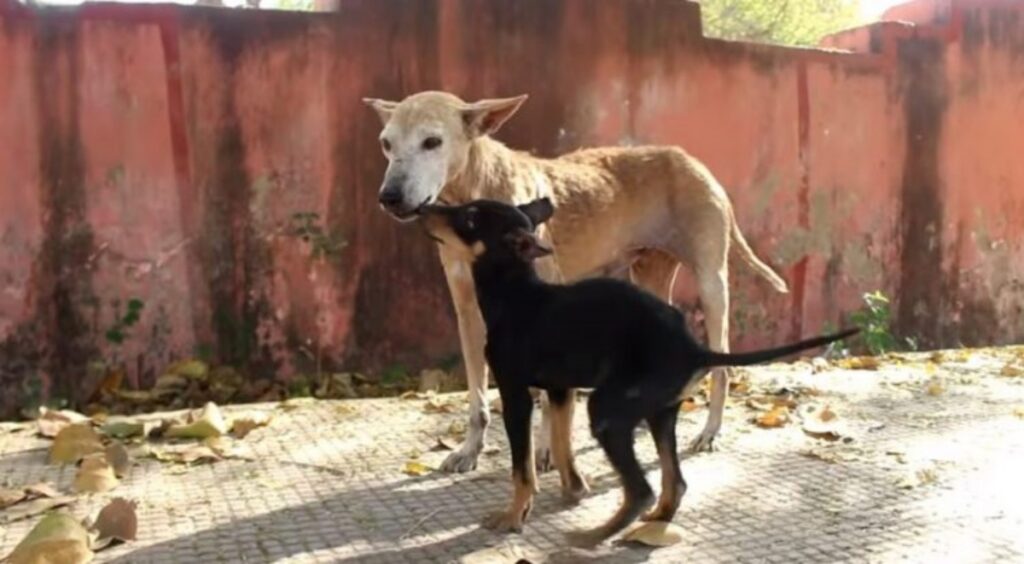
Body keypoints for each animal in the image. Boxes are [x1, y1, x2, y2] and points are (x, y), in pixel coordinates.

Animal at [364, 91, 786, 472]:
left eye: (432, 141)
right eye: (386, 143)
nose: (389, 197)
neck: (477, 189)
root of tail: (692, 160)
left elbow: (546, 395)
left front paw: (546, 450)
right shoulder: (468, 313)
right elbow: (477, 399)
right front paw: (470, 450)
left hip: (712, 284)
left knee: (723, 365)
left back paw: (710, 430)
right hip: (649, 278)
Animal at [417, 198, 856, 548]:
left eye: (469, 217)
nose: (422, 208)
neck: (517, 293)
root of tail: (695, 348)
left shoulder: (515, 394)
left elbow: (522, 468)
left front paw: (513, 516)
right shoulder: (560, 390)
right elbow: (561, 445)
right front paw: (574, 489)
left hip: (608, 412)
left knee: (641, 489)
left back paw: (592, 536)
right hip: (660, 412)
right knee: (674, 483)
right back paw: (653, 522)